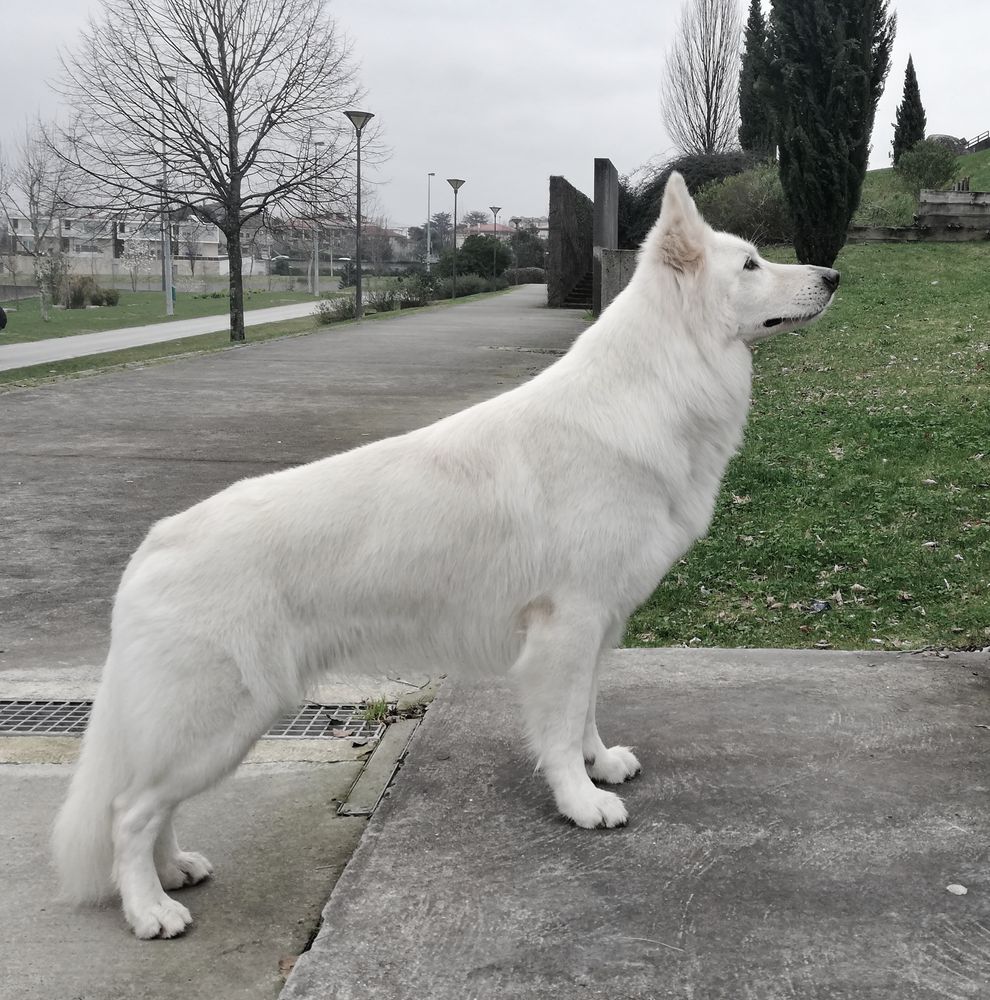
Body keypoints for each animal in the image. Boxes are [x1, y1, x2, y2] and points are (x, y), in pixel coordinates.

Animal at [52, 174, 836, 936]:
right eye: (750, 265)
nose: (832, 275)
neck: (655, 385)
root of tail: (156, 543)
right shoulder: (568, 626)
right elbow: (558, 727)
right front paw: (580, 800)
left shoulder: (597, 626)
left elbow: (585, 709)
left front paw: (600, 763)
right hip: (223, 719)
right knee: (128, 812)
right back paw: (149, 908)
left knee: (153, 808)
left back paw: (174, 869)